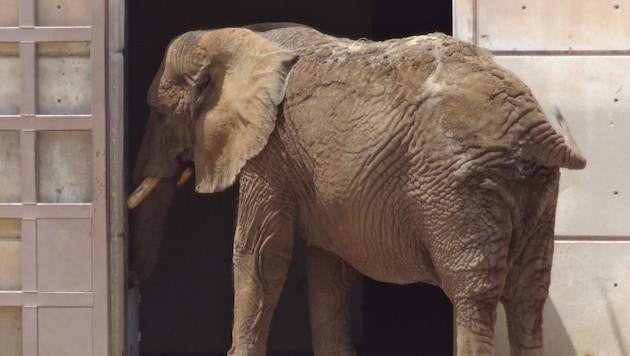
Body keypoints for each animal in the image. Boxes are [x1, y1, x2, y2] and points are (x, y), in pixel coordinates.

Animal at [127, 25, 588, 356]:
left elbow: (259, 257)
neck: (235, 38)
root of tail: (535, 123)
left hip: (461, 187)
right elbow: (326, 271)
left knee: (473, 291)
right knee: (529, 293)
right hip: (534, 187)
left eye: (160, 115)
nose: (133, 284)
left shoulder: (271, 152)